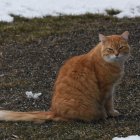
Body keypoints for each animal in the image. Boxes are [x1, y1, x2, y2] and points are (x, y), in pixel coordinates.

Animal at [0, 31, 130, 122]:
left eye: (121, 47)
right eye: (110, 49)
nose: (117, 54)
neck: (115, 64)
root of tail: (54, 111)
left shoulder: (111, 89)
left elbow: (110, 103)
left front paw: (112, 112)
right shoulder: (105, 88)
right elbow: (106, 104)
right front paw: (107, 114)